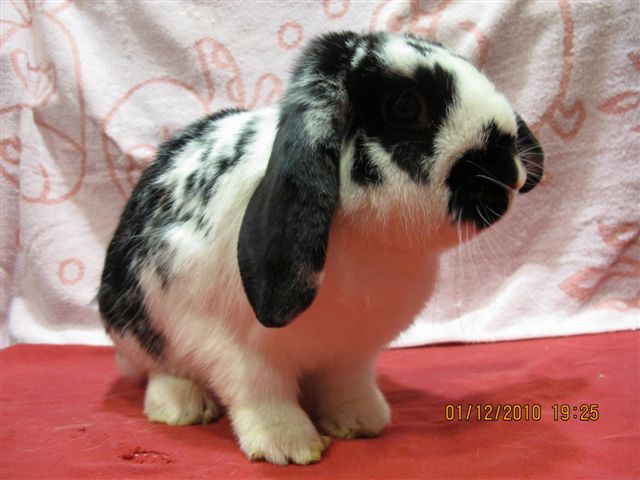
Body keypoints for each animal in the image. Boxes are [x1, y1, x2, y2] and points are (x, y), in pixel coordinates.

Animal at [98, 30, 544, 465]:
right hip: (142, 327)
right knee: (161, 368)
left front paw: (361, 422)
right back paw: (182, 407)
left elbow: (348, 385)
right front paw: (289, 446)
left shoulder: (352, 354)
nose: (510, 172)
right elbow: (262, 394)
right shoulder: (239, 350)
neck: (372, 243)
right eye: (404, 106)